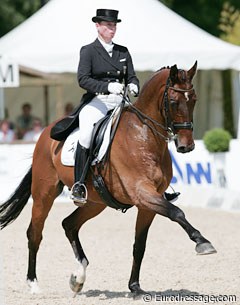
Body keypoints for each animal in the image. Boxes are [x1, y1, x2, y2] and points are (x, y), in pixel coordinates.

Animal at [0, 61, 217, 296]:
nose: (187, 146)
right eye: (174, 102)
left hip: (96, 202)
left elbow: (140, 245)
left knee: (69, 224)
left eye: (194, 99)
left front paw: (135, 287)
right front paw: (202, 242)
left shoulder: (149, 202)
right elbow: (177, 212)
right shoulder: (142, 193)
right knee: (35, 233)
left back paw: (78, 277)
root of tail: (45, 134)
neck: (144, 136)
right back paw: (33, 283)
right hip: (44, 193)